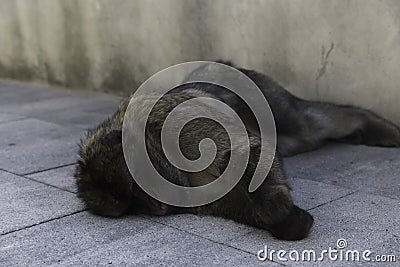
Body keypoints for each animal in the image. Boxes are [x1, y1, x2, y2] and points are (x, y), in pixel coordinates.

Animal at [74, 61, 400, 242]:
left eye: (136, 190)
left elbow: (248, 149)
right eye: (132, 207)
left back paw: (376, 126)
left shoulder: (181, 124)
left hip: (268, 96)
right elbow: (234, 202)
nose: (157, 208)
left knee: (312, 124)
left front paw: (277, 210)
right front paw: (285, 222)